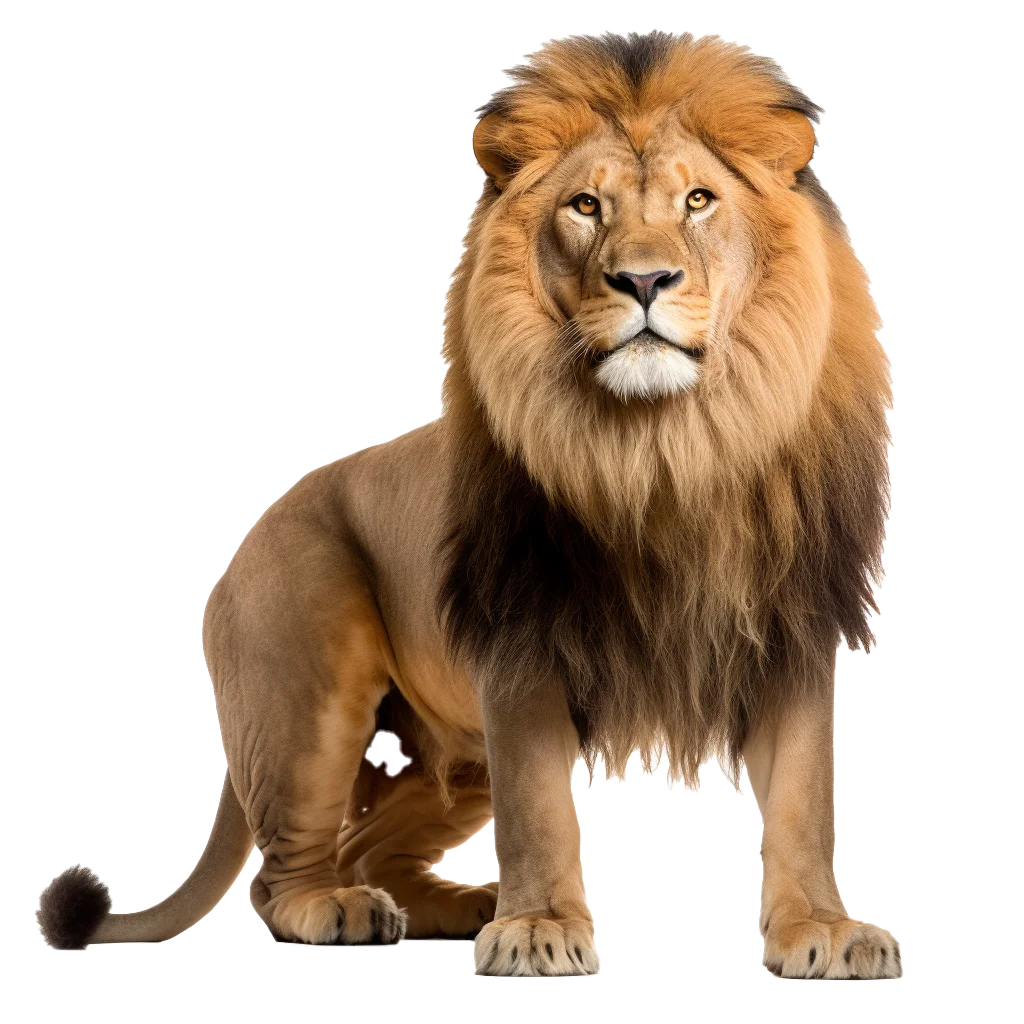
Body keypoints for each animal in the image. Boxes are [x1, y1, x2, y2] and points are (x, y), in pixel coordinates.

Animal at [37, 31, 900, 980]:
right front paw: (540, 927)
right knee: (286, 872)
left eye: (699, 201)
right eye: (586, 206)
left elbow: (805, 799)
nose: (644, 280)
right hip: (312, 694)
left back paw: (462, 904)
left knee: (370, 849)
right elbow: (540, 811)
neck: (666, 449)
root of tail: (247, 541)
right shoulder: (522, 640)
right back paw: (348, 910)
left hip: (442, 754)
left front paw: (821, 928)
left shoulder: (793, 621)